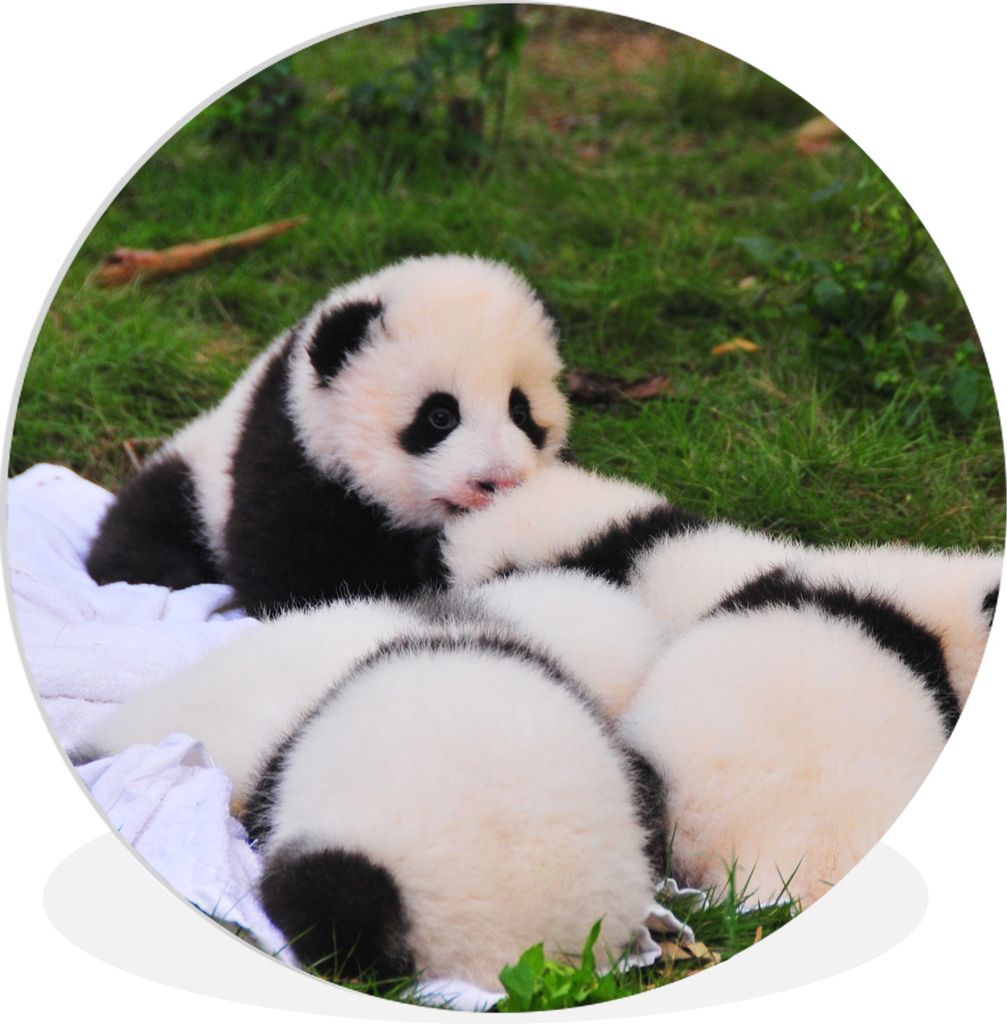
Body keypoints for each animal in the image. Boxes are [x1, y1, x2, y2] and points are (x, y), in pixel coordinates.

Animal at [85, 254, 570, 617]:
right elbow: (297, 577)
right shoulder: (289, 455)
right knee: (145, 536)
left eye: (520, 411)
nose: (498, 480)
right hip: (197, 483)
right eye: (439, 417)